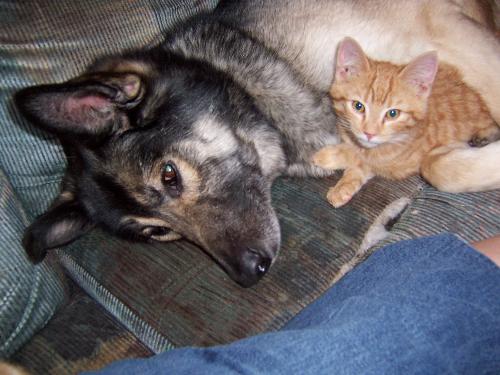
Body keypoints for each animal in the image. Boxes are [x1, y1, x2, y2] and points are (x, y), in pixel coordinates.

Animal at [312, 38, 500, 209]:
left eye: (393, 113)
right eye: (358, 106)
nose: (369, 133)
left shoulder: (400, 160)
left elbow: (366, 157)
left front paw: (329, 156)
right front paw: (345, 184)